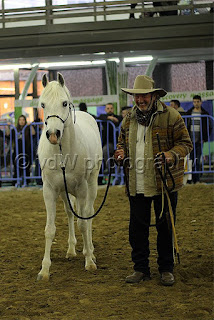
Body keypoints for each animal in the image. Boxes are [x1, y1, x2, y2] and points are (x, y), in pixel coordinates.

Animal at [37, 73, 102, 280]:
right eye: (43, 104)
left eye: (64, 103)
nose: (53, 134)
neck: (62, 152)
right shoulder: (49, 190)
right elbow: (49, 230)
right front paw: (44, 270)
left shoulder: (81, 188)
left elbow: (83, 223)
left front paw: (89, 261)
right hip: (66, 192)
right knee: (70, 213)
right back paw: (72, 249)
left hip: (91, 184)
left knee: (88, 214)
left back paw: (90, 251)